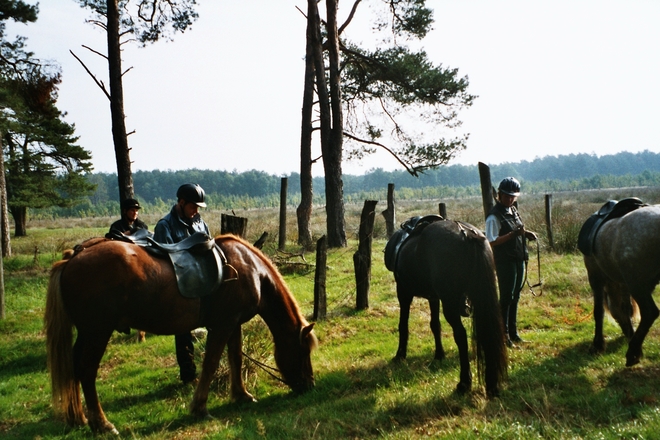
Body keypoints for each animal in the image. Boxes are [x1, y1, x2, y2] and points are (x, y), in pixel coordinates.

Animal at [43, 234, 318, 434]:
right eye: (303, 351)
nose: (309, 386)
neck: (250, 269)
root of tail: (71, 259)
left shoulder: (233, 325)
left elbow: (236, 359)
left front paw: (241, 395)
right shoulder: (222, 325)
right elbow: (211, 363)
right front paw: (200, 407)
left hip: (87, 334)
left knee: (73, 367)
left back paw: (78, 417)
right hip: (97, 333)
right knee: (87, 371)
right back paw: (101, 423)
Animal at [390, 222, 508, 398]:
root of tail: (467, 233)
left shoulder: (404, 292)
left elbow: (403, 325)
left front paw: (400, 355)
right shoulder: (433, 297)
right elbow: (435, 325)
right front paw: (439, 354)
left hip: (450, 305)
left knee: (461, 335)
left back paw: (464, 383)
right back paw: (491, 384)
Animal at [584, 205, 660, 366]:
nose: (626, 334)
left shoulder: (595, 277)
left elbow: (598, 311)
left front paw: (597, 345)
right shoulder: (625, 283)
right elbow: (627, 308)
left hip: (637, 285)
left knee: (649, 313)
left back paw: (632, 353)